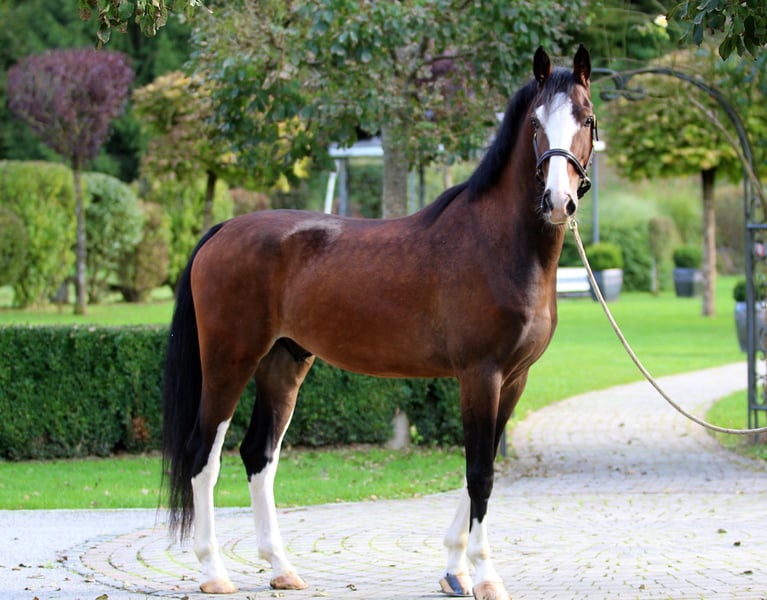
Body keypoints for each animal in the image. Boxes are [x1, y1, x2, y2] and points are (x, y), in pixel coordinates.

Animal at [163, 44, 596, 600]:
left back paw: (281, 567)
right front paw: (484, 575)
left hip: (284, 364)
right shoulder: (481, 376)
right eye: (537, 124)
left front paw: (454, 570)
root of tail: (221, 231)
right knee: (204, 455)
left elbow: (480, 469)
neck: (499, 244)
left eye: (586, 118)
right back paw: (214, 571)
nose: (558, 201)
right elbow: (480, 473)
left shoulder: (515, 379)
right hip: (228, 362)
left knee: (259, 455)